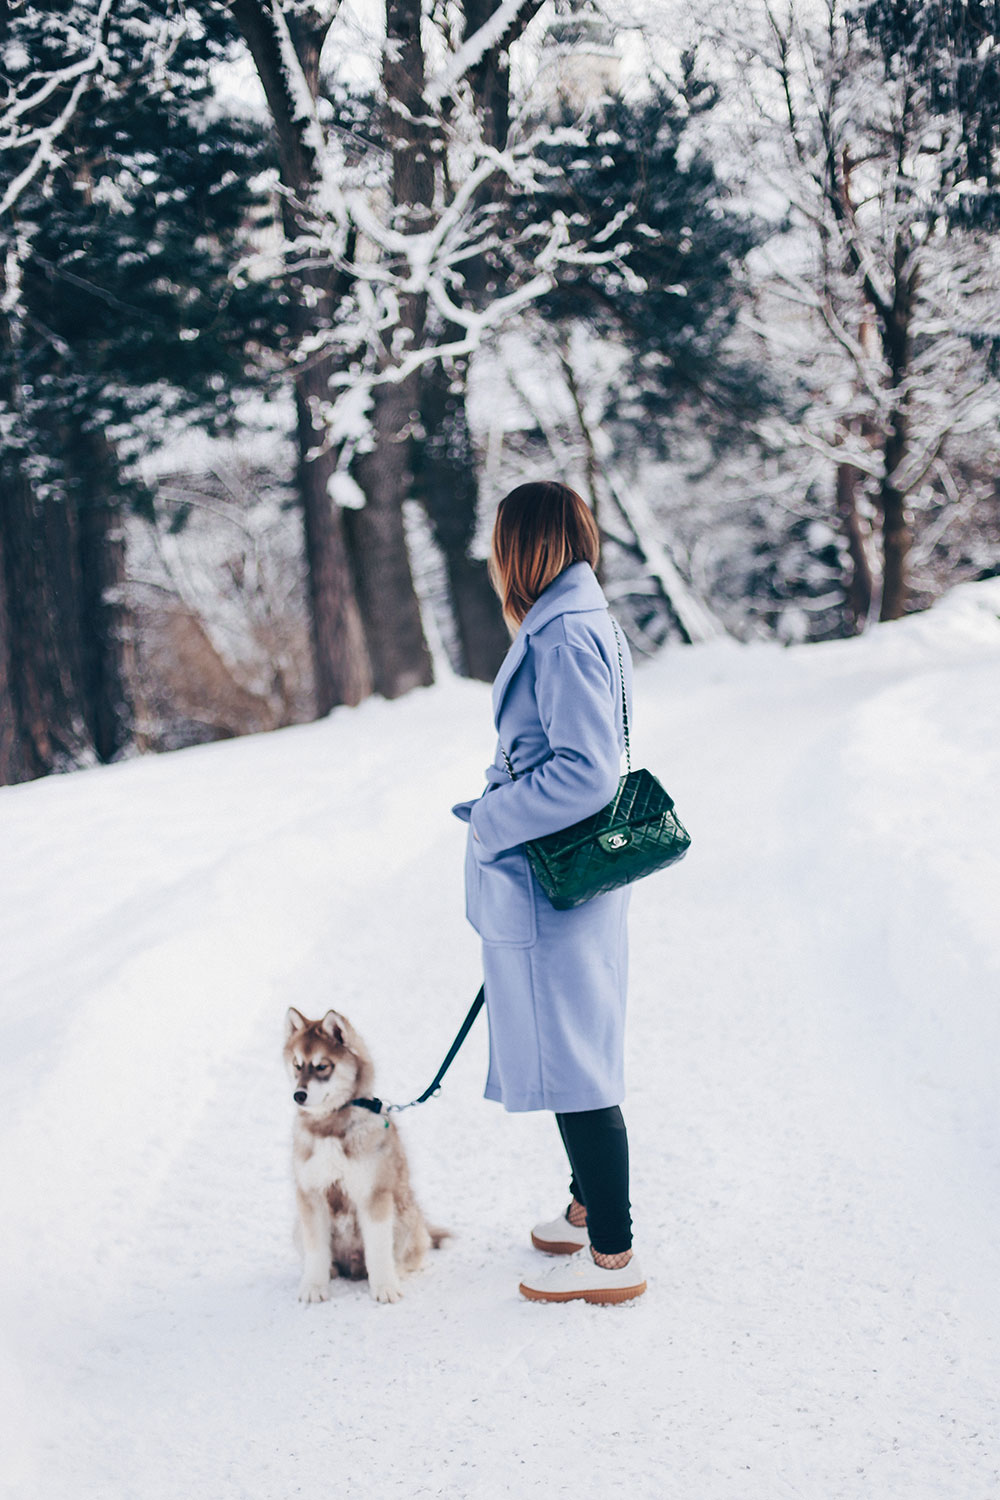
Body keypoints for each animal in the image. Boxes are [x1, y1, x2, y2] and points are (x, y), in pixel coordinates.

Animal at [287, 1008, 446, 1302]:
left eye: (322, 1066)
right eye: (297, 1065)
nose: (298, 1095)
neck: (331, 1127)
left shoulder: (374, 1194)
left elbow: (379, 1250)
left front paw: (385, 1288)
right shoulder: (311, 1194)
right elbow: (316, 1250)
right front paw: (313, 1286)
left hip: (404, 1217)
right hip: (297, 1225)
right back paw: (332, 1271)